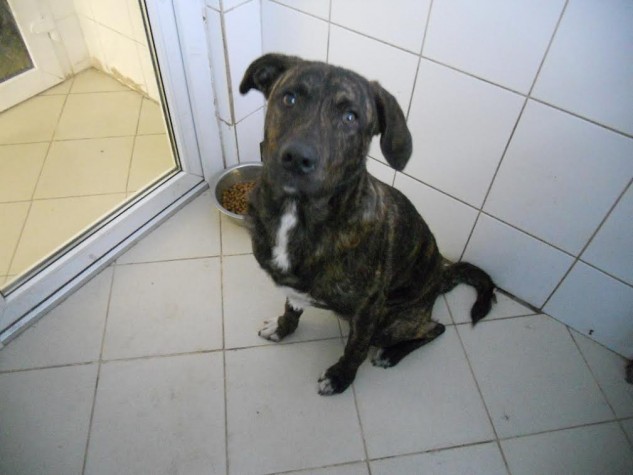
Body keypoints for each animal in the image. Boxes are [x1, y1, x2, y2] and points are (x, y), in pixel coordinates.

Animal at [239, 53, 496, 395]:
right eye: (289, 98)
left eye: (351, 117)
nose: (297, 158)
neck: (298, 213)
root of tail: (441, 277)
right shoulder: (292, 287)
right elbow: (290, 308)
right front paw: (282, 329)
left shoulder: (369, 310)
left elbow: (355, 349)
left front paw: (340, 377)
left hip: (391, 322)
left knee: (434, 329)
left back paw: (391, 353)